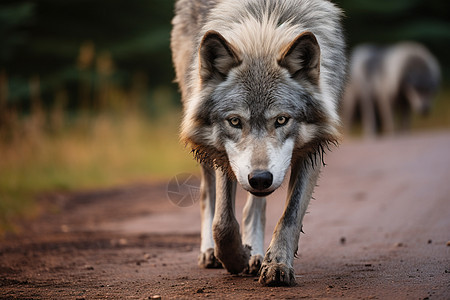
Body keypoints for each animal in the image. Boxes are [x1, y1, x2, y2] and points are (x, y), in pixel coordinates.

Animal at [171, 0, 346, 286]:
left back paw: (255, 254)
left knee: (255, 206)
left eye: (282, 119)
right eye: (234, 121)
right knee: (208, 195)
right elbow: (222, 223)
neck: (265, 26)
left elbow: (289, 217)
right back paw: (212, 252)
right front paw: (236, 258)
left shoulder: (312, 149)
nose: (261, 178)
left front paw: (276, 264)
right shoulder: (225, 156)